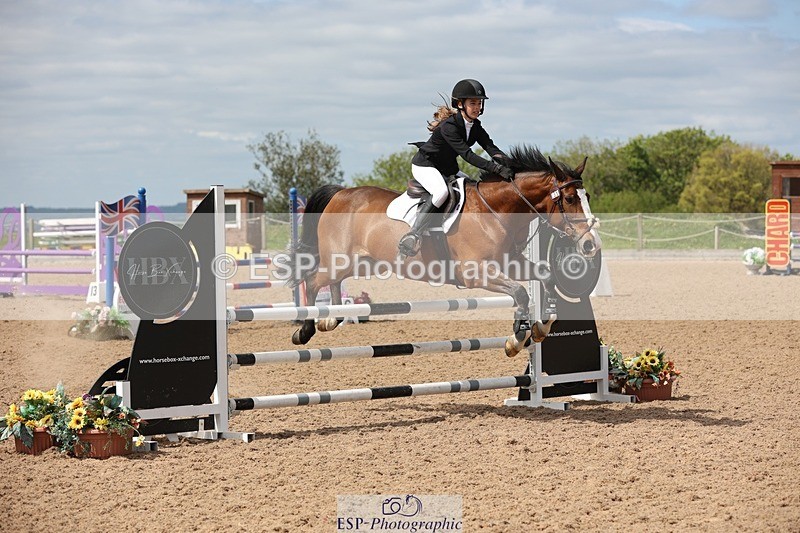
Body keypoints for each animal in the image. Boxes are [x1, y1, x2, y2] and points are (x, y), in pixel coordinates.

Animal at [286, 145, 600, 357]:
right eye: (569, 199)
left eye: (585, 196)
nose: (590, 244)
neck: (496, 210)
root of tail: (341, 193)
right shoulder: (475, 273)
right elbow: (521, 292)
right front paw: (516, 340)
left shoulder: (512, 262)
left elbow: (545, 277)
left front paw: (541, 327)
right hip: (338, 261)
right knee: (312, 280)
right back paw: (304, 331)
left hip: (358, 262)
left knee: (332, 282)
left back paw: (331, 318)